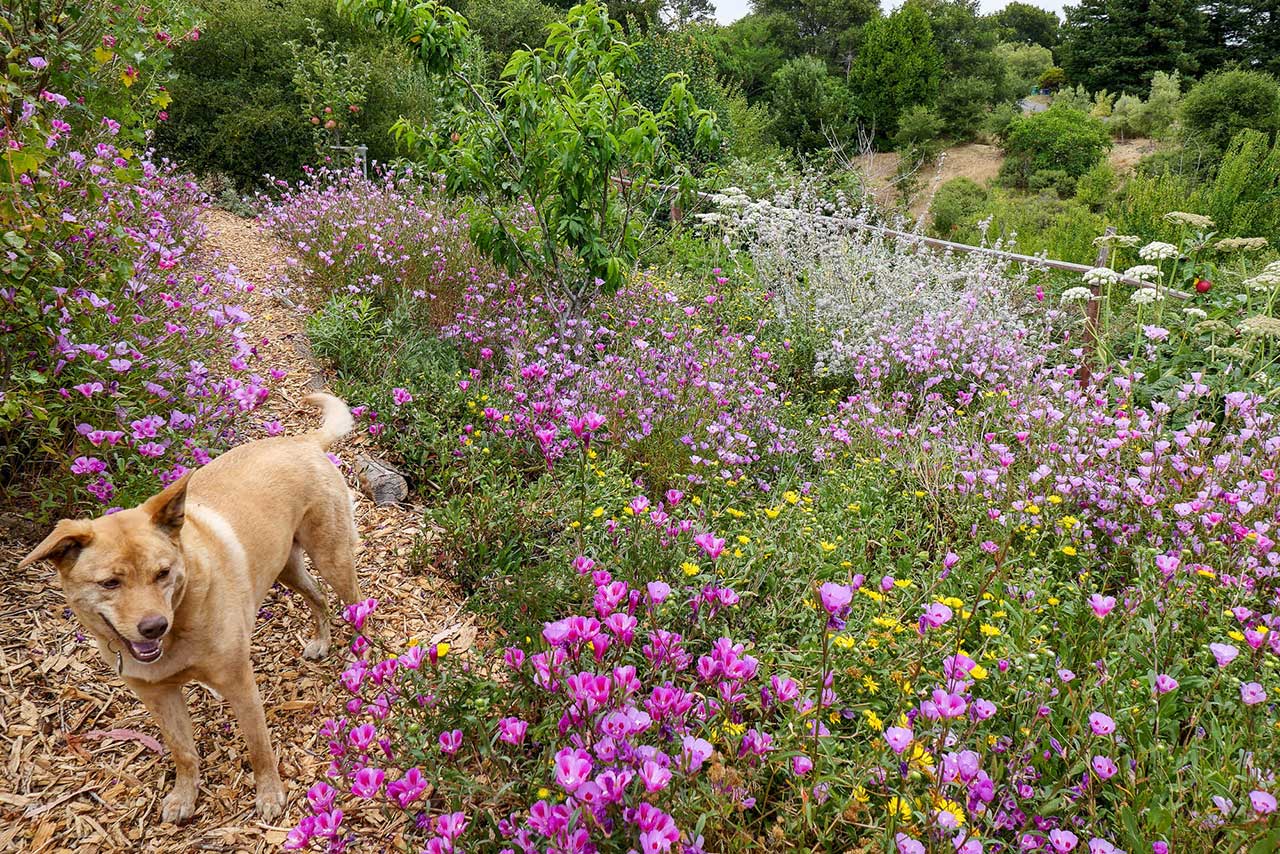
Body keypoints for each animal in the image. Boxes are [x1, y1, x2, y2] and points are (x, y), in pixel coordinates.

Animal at [18, 394, 360, 819]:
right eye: (110, 583)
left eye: (162, 573)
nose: (153, 627)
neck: (180, 621)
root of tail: (302, 441)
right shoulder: (159, 698)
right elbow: (182, 751)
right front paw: (185, 795)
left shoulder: (240, 684)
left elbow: (258, 746)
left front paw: (268, 793)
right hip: (287, 568)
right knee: (319, 597)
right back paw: (323, 640)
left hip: (331, 558)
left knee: (358, 606)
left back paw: (364, 657)